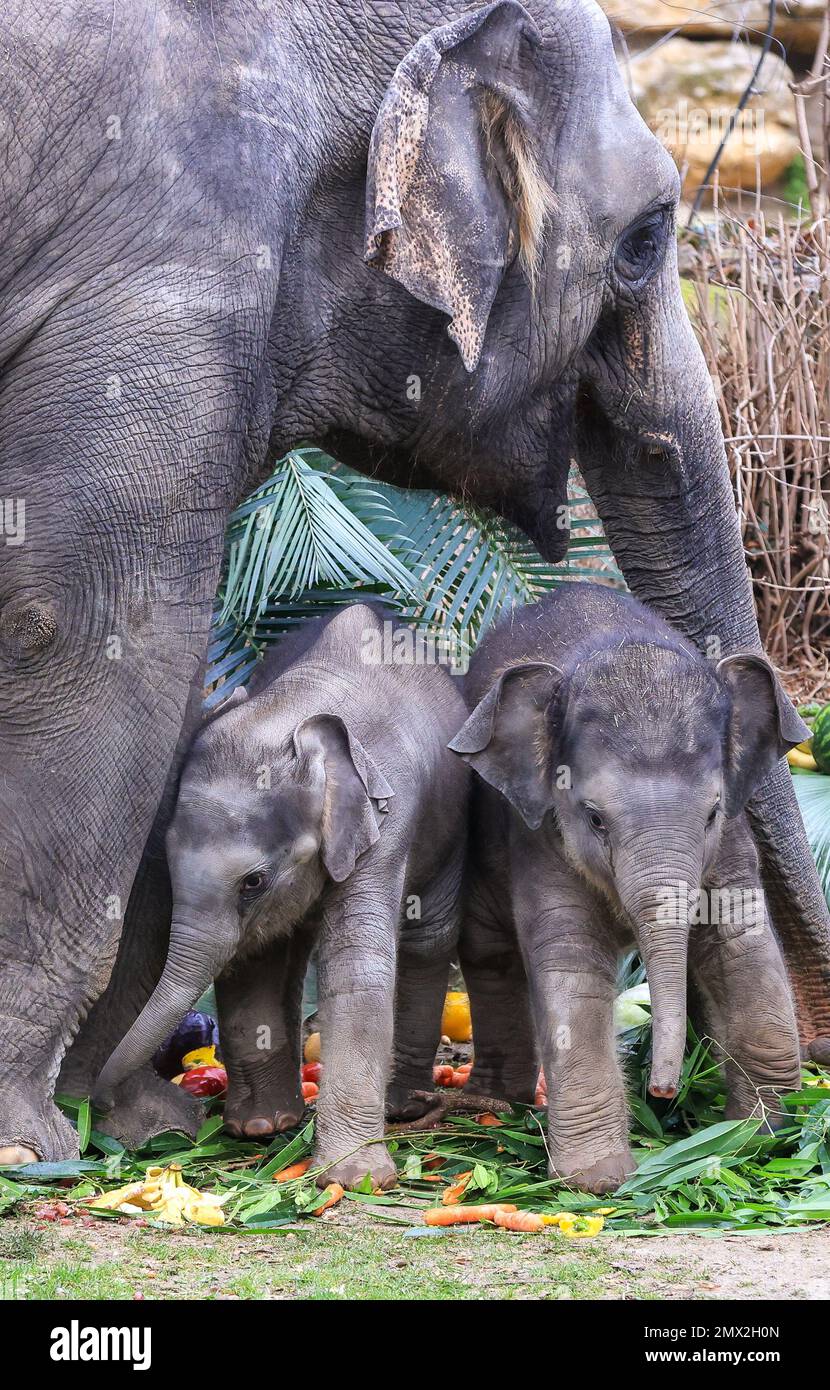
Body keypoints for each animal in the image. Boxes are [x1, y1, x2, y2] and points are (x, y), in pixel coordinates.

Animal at [93, 603, 469, 1189]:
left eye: (253, 881)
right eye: (167, 863)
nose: (99, 1106)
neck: (295, 712)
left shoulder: (388, 818)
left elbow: (357, 966)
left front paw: (353, 1178)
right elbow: (254, 963)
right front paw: (260, 1129)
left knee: (428, 938)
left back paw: (403, 1106)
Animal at [448, 583, 805, 1193]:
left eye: (711, 813)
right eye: (594, 818)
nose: (662, 1090)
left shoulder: (731, 842)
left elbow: (740, 944)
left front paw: (762, 1135)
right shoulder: (538, 837)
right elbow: (570, 963)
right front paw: (599, 1180)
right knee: (490, 953)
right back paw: (494, 1106)